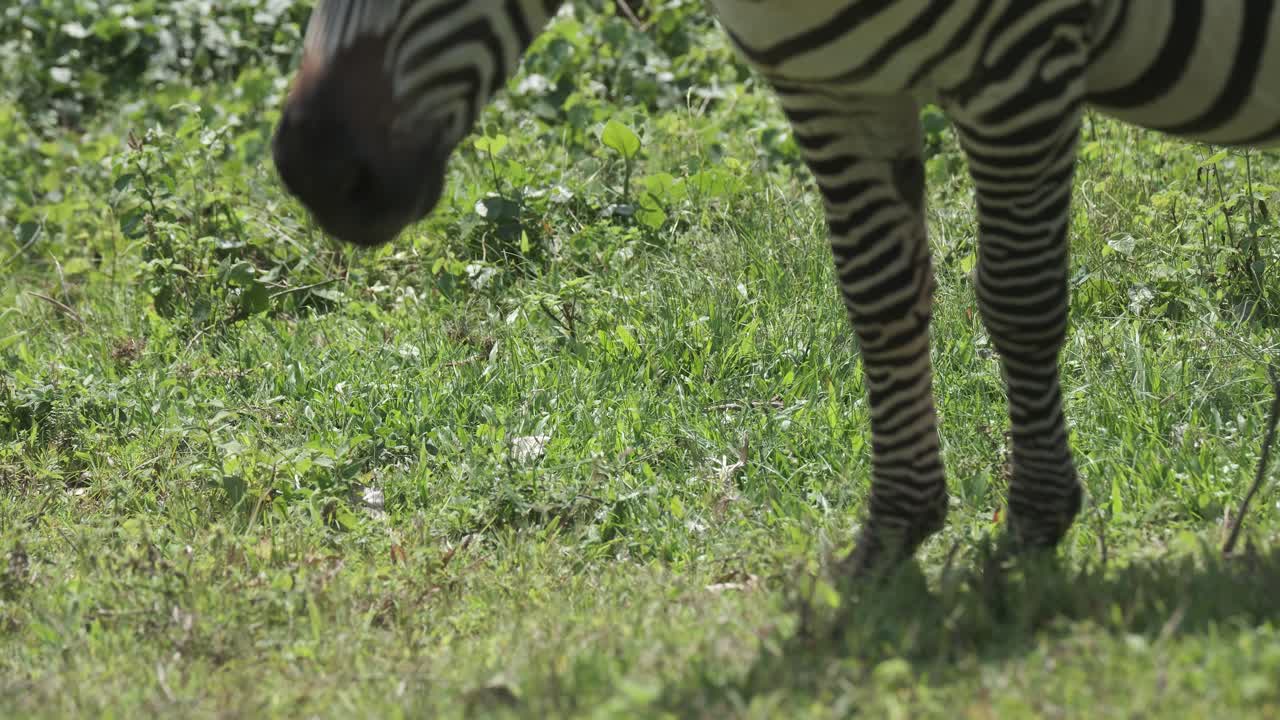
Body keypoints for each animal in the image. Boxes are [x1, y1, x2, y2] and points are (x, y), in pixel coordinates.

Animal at [271, 0, 1280, 575]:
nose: (310, 168)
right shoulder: (831, 87)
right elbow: (877, 298)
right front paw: (896, 530)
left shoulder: (1021, 69)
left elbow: (1019, 295)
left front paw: (1032, 521)